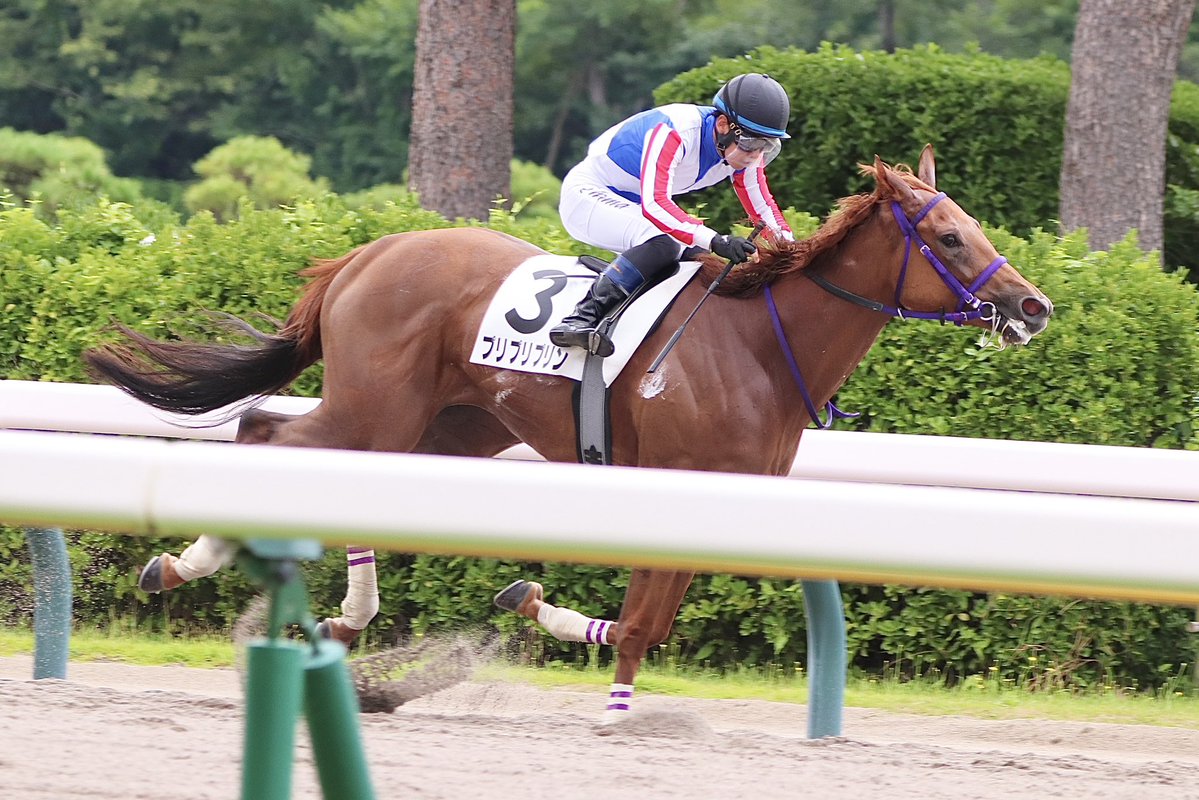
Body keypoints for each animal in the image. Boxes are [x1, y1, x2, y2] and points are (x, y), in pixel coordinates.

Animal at [85, 146, 1052, 722]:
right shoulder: (672, 480)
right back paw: (189, 566)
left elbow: (647, 620)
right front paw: (614, 706)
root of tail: (365, 253)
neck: (757, 344)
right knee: (260, 434)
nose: (1032, 307)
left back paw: (345, 626)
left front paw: (540, 609)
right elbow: (644, 620)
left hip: (451, 428)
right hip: (375, 406)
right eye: (946, 236)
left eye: (972, 228)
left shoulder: (715, 499)